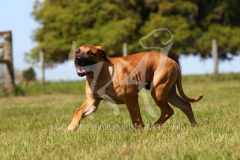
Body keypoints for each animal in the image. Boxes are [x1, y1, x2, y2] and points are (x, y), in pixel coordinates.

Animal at [67, 45, 202, 131]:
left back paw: (154, 127)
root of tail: (173, 61)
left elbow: (136, 118)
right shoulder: (92, 102)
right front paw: (70, 129)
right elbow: (78, 112)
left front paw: (140, 132)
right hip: (169, 92)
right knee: (185, 105)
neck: (100, 76)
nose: (78, 59)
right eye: (77, 51)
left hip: (158, 91)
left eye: (90, 52)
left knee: (168, 111)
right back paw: (194, 126)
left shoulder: (131, 98)